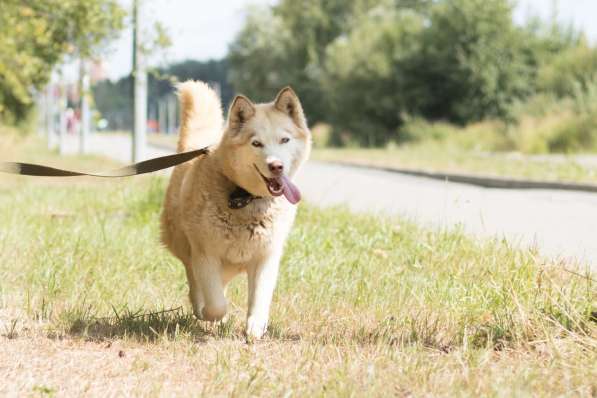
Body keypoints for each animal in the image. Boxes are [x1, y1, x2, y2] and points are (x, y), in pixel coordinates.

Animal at [161, 80, 312, 338]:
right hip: (186, 247)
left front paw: (255, 327)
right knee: (196, 283)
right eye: (256, 143)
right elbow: (215, 304)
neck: (246, 199)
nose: (277, 166)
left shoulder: (266, 257)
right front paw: (212, 315)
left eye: (284, 140)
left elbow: (260, 297)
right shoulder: (205, 255)